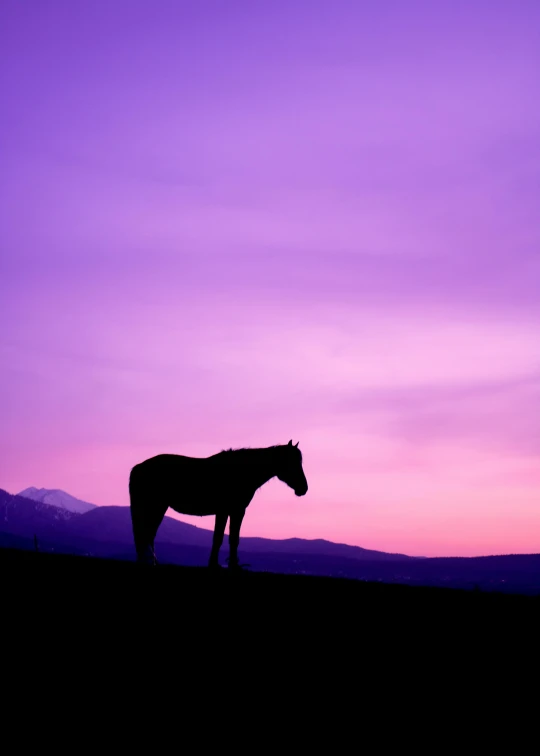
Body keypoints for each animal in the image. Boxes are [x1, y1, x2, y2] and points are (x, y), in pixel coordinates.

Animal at [127, 440, 308, 568]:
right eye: (291, 463)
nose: (304, 488)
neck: (242, 471)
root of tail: (138, 467)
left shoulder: (233, 511)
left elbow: (230, 538)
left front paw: (228, 564)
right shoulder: (228, 510)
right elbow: (222, 537)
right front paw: (221, 565)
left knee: (148, 533)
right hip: (156, 506)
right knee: (147, 533)